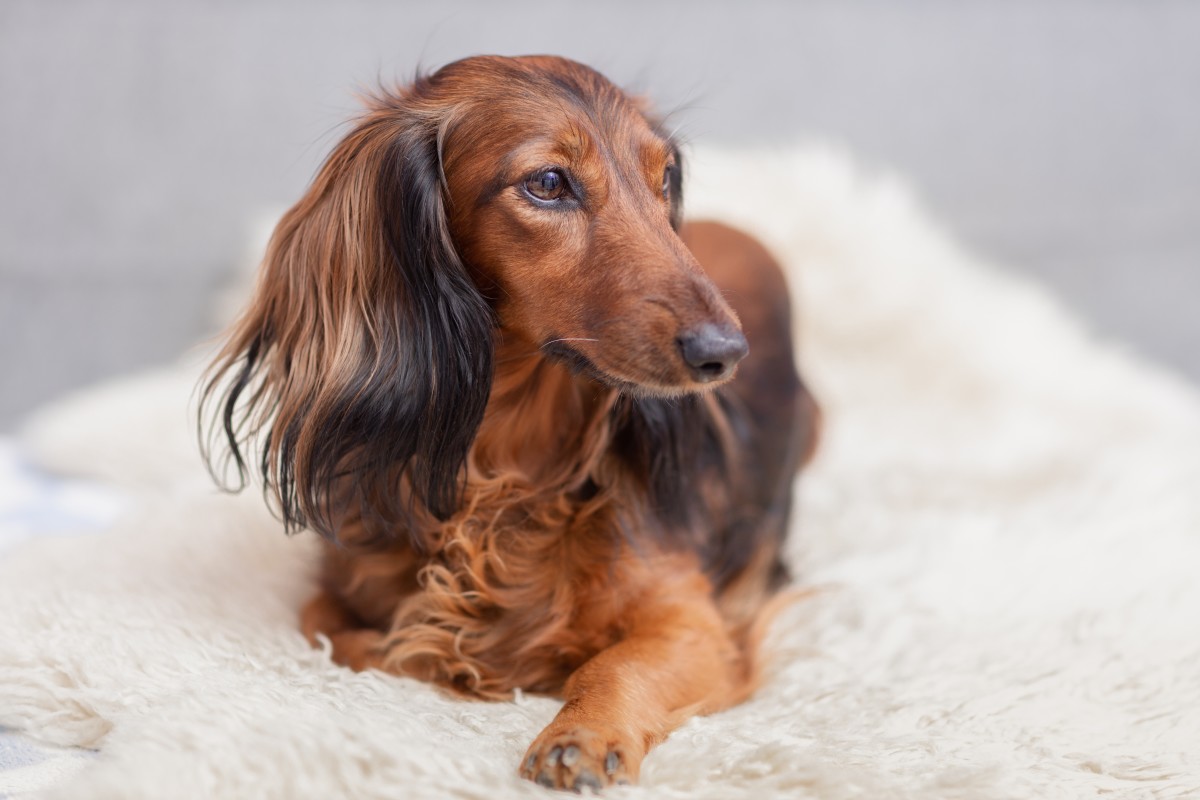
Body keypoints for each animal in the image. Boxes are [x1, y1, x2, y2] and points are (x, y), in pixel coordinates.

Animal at [206, 57, 820, 796]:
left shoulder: (694, 624)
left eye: (665, 177)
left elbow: (615, 663)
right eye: (549, 183)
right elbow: (355, 640)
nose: (724, 353)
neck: (504, 465)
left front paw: (581, 735)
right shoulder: (333, 596)